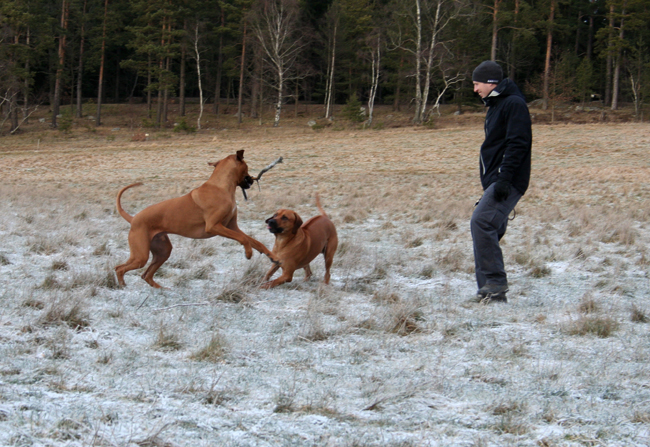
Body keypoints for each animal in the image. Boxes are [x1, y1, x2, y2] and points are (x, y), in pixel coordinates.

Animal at [115, 151, 274, 290]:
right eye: (246, 167)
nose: (252, 179)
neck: (221, 187)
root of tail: (133, 218)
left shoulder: (232, 227)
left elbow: (255, 242)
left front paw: (272, 256)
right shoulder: (214, 226)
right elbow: (244, 239)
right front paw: (248, 253)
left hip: (162, 251)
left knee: (146, 275)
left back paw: (162, 289)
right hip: (141, 255)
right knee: (119, 268)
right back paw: (122, 286)